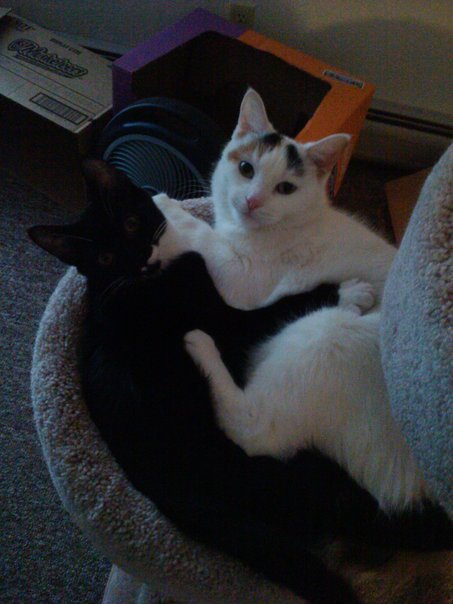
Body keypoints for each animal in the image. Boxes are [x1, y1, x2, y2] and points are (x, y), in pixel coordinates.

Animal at [28, 160, 452, 604]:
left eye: (129, 223)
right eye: (106, 256)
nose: (139, 258)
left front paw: (169, 210)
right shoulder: (228, 309)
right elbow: (265, 296)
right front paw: (346, 290)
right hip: (323, 342)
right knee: (258, 431)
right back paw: (201, 345)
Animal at [150, 89, 427, 514]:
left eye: (285, 189)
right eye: (245, 168)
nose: (251, 201)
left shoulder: (241, 275)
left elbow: (200, 235)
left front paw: (164, 205)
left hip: (330, 334)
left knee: (255, 430)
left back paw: (203, 347)